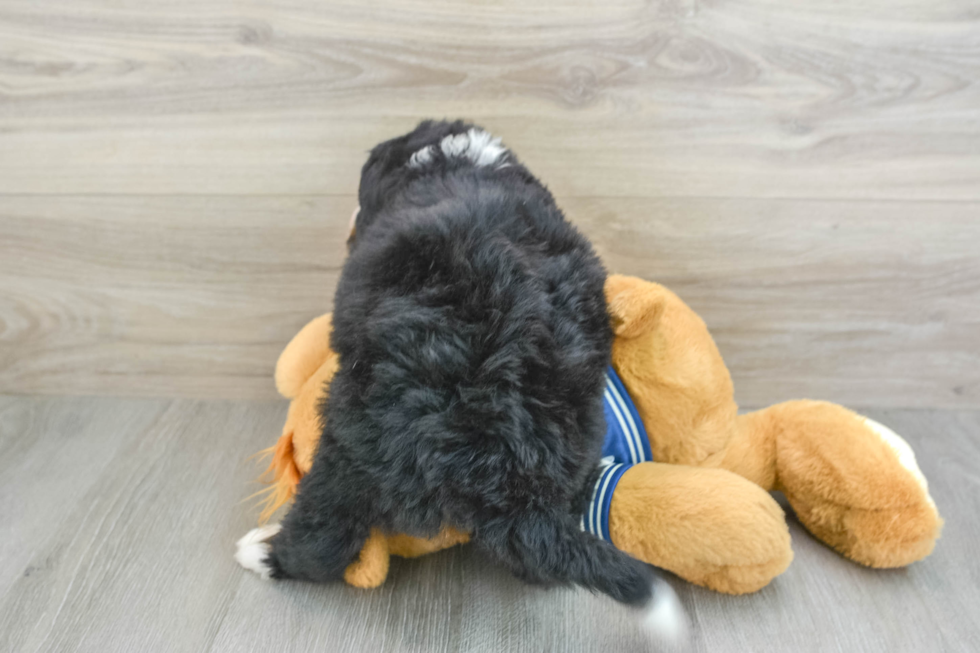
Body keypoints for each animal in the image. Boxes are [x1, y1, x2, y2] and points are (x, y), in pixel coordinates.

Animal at [237, 119, 680, 636]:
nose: (350, 220)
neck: (452, 160)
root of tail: (505, 457)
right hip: (581, 448)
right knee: (540, 564)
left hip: (350, 447)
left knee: (326, 532)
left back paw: (262, 552)